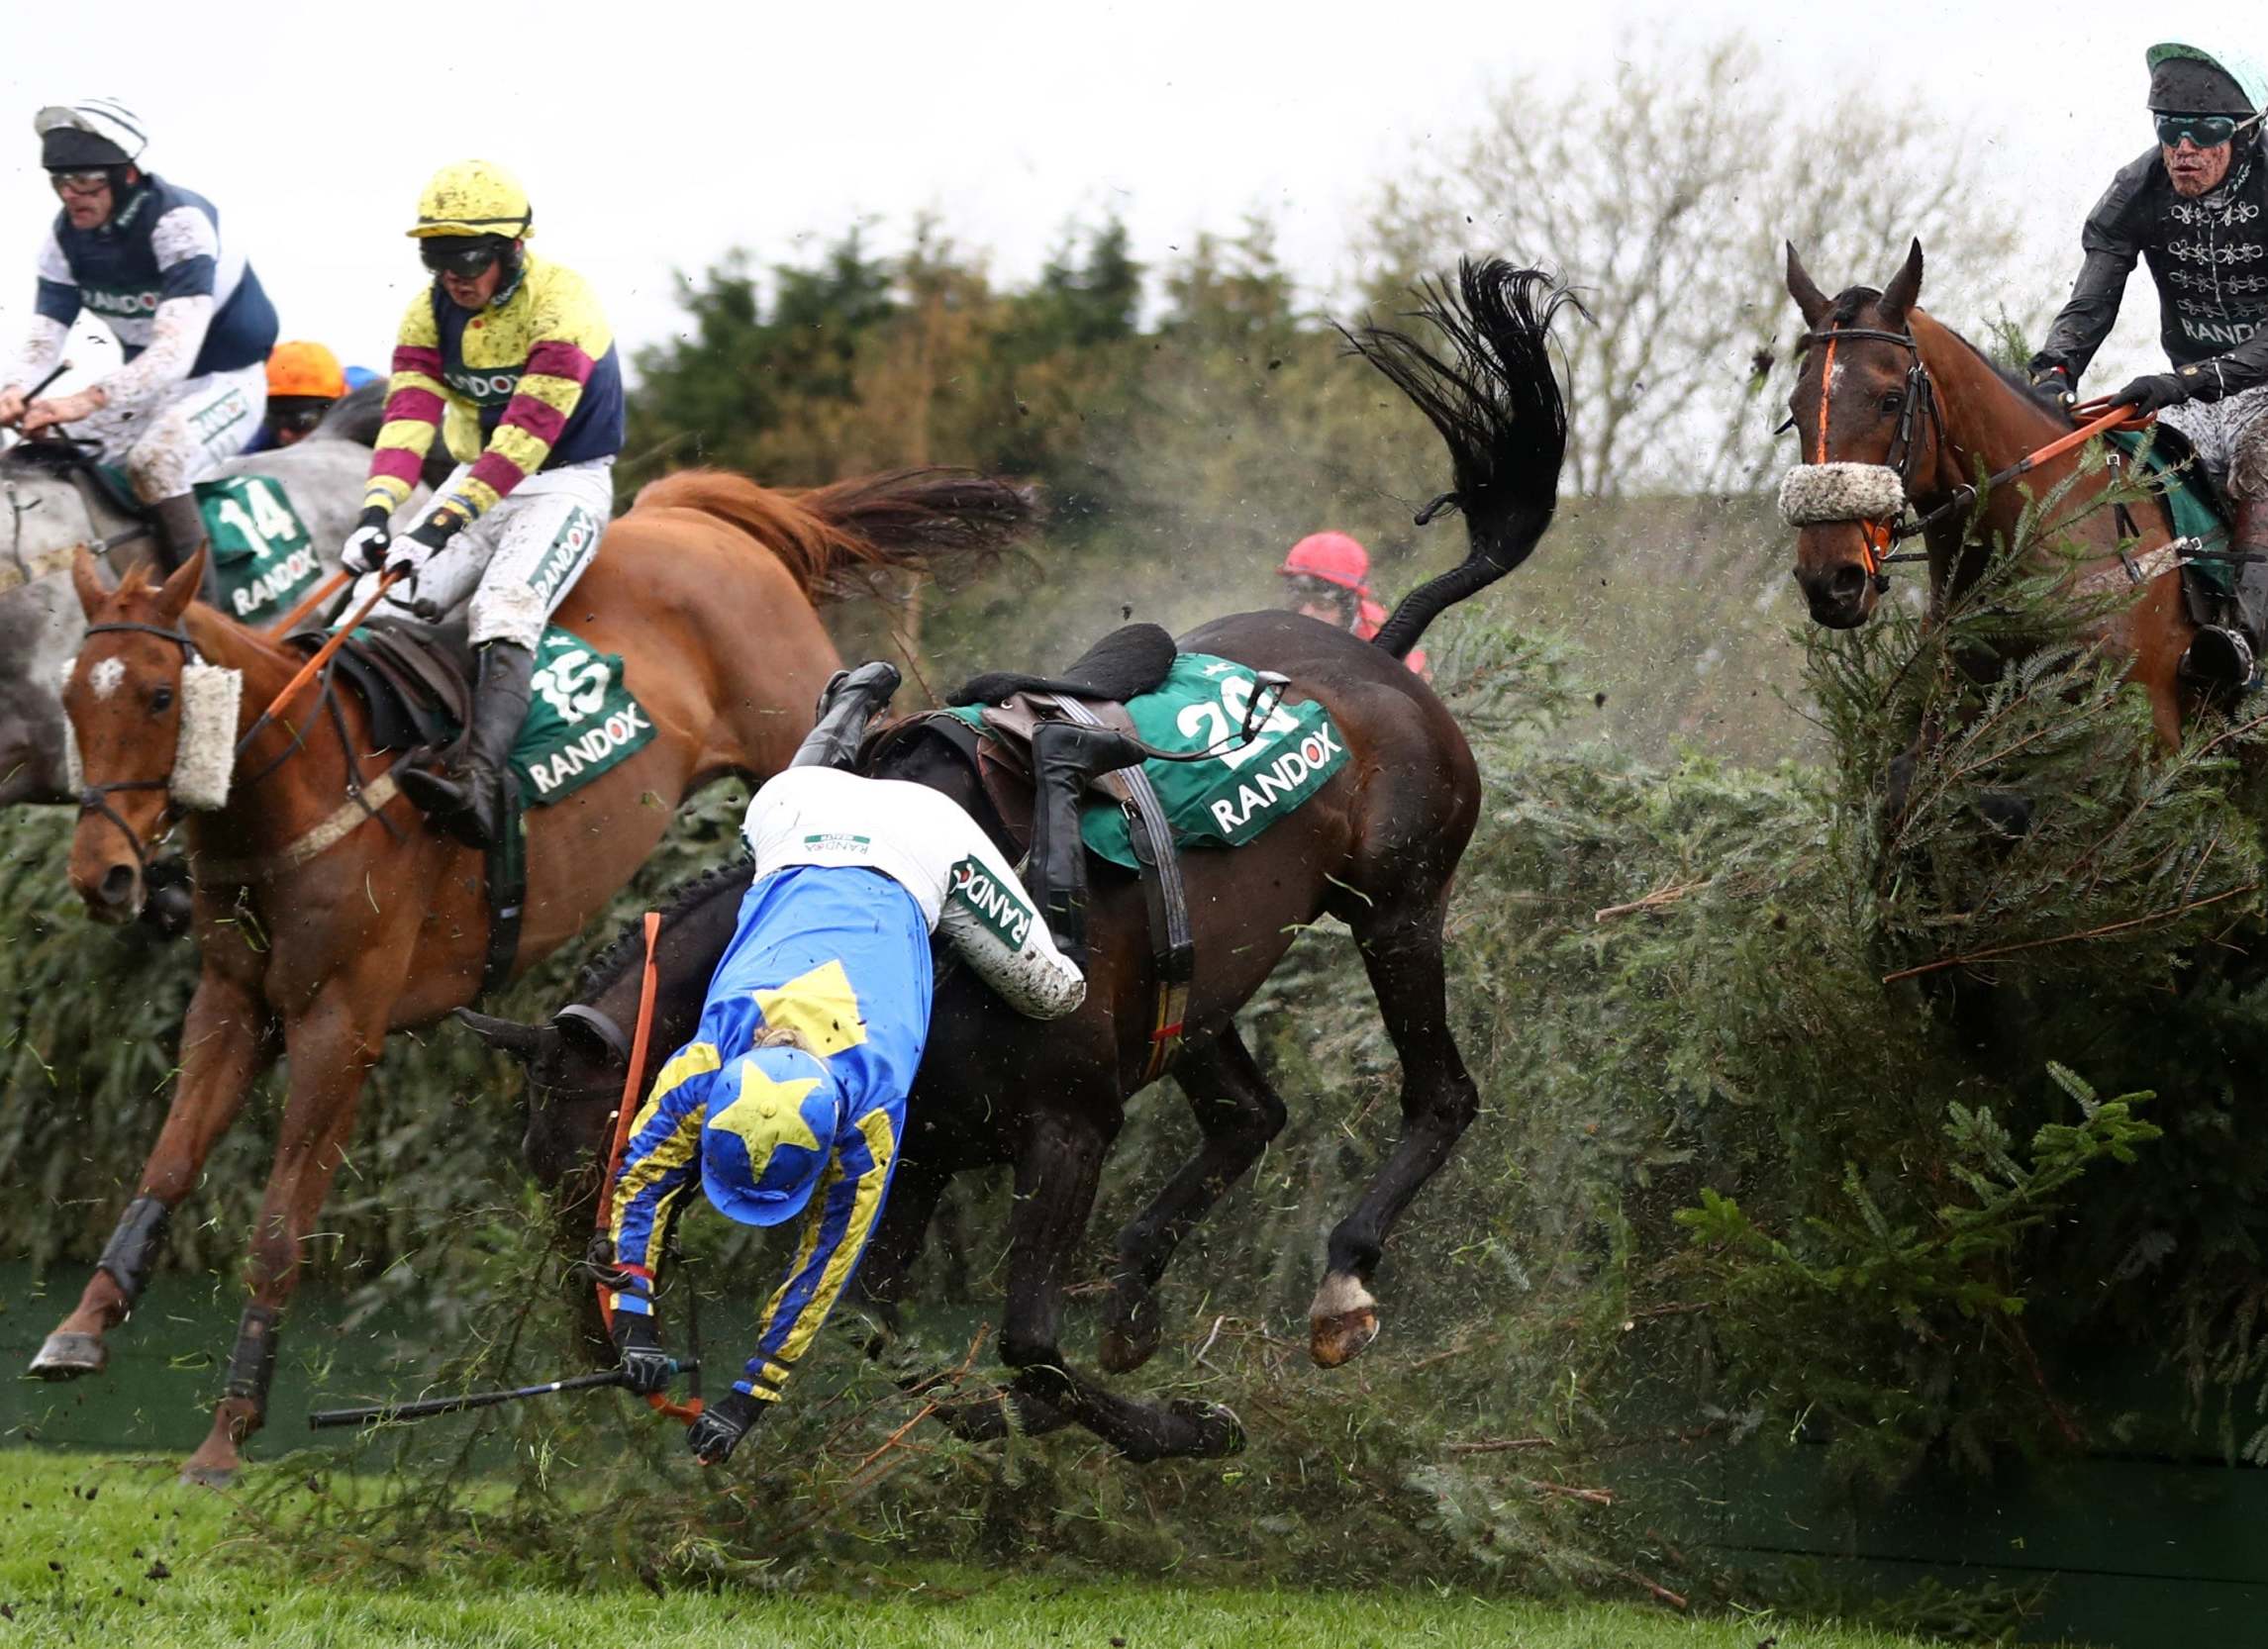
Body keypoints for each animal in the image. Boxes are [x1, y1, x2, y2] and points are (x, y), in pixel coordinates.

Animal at [31, 464, 1038, 1488]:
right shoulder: (233, 1002)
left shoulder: (340, 1027)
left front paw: (227, 1433)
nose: (102, 875)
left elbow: (279, 1230)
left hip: (786, 721)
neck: (301, 787)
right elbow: (167, 1162)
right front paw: (80, 1328)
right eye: (72, 695)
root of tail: (689, 509)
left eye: (160, 696)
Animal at [462, 254, 1578, 1460]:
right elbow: (873, 1326)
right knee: (1249, 1115)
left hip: (1397, 904)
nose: (601, 1349)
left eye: (591, 1157)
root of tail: (1377, 652)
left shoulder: (1064, 1130)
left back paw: (1341, 1284)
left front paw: (1183, 1428)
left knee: (1440, 1094)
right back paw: (1135, 1294)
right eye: (538, 1169)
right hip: (1205, 981)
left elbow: (1029, 1343)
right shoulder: (922, 1144)